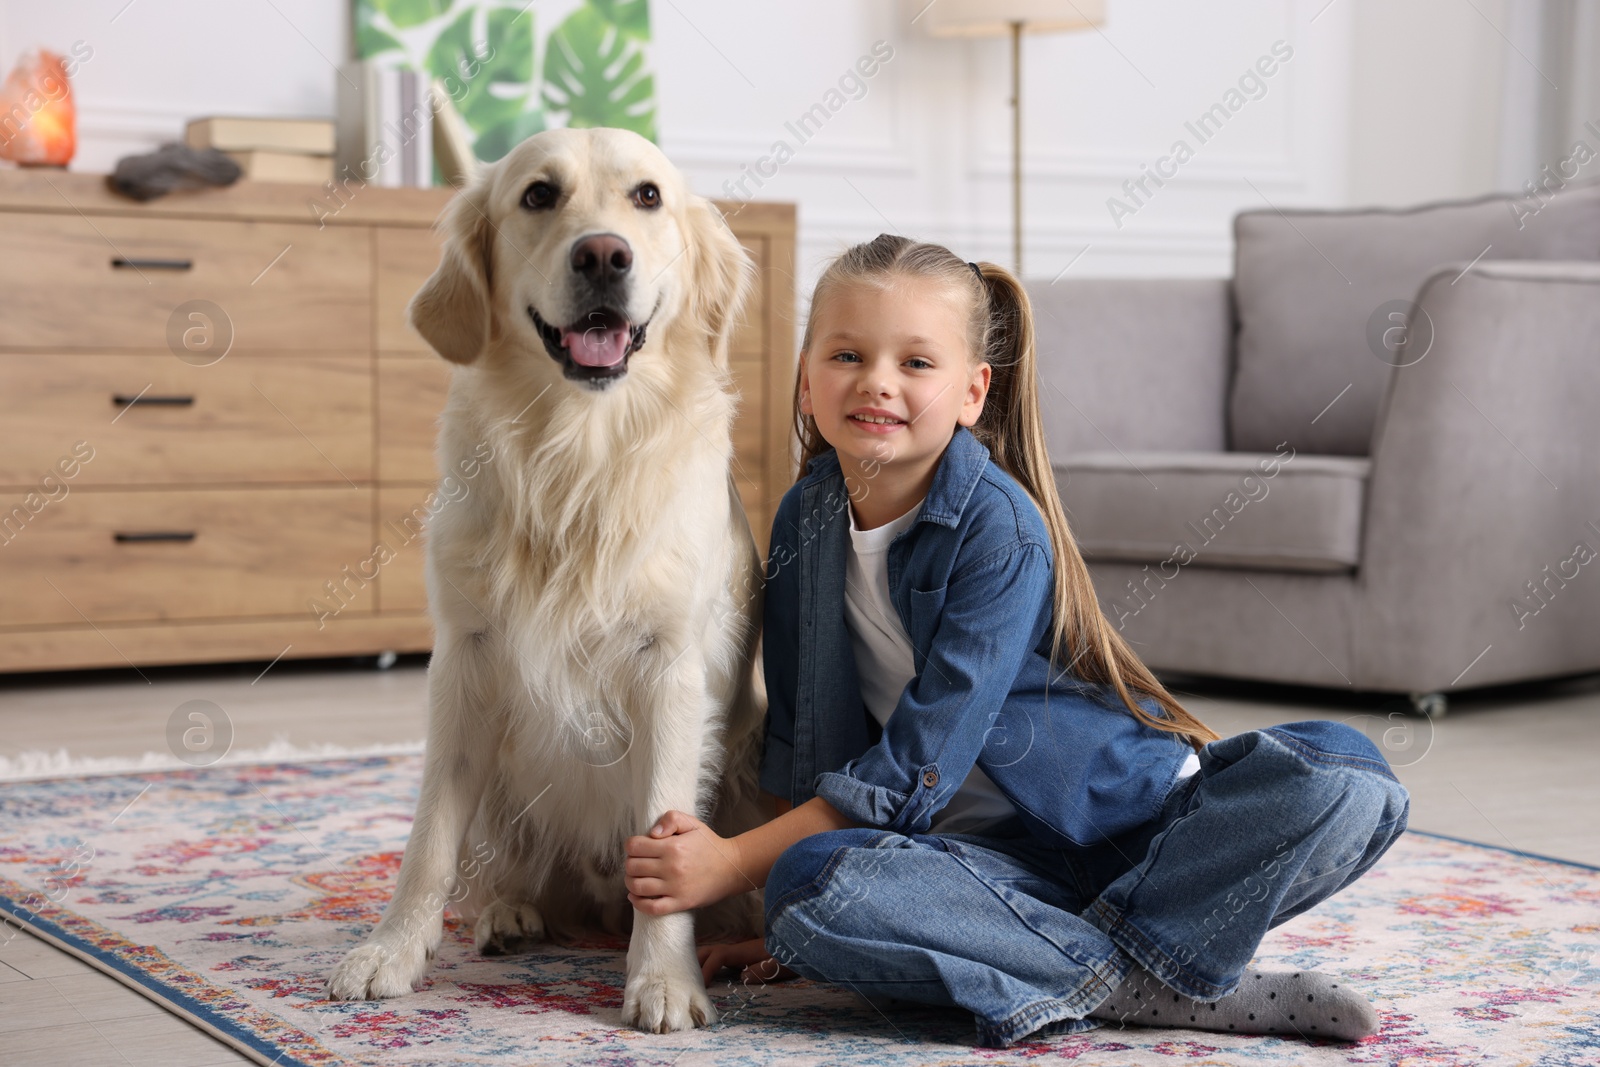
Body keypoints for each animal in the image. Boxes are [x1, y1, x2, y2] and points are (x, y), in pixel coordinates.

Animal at [324, 127, 768, 1036]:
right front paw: (392, 949)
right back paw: (507, 913)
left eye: (646, 196)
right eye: (538, 195)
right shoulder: (464, 658)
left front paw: (663, 978)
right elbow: (429, 839)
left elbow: (666, 835)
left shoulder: (670, 669)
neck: (578, 454)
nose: (603, 255)